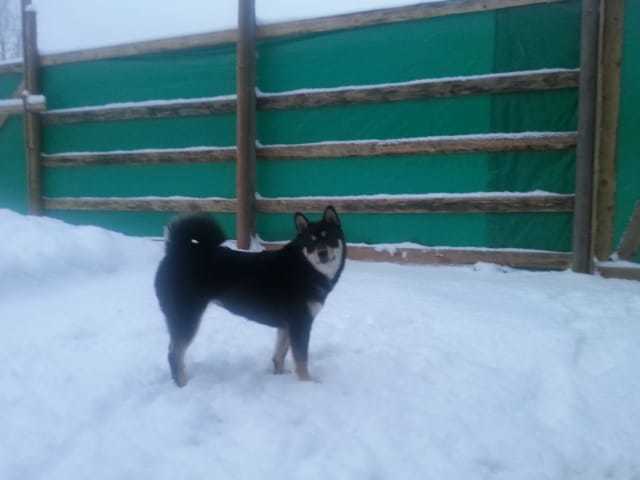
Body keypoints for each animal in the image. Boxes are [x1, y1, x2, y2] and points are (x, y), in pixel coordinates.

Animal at [154, 206, 344, 386]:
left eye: (328, 237)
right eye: (310, 241)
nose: (322, 253)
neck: (304, 267)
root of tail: (176, 250)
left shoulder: (287, 325)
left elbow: (280, 355)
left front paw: (279, 376)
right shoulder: (300, 323)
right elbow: (301, 358)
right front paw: (307, 383)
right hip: (187, 317)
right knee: (174, 354)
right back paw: (183, 384)